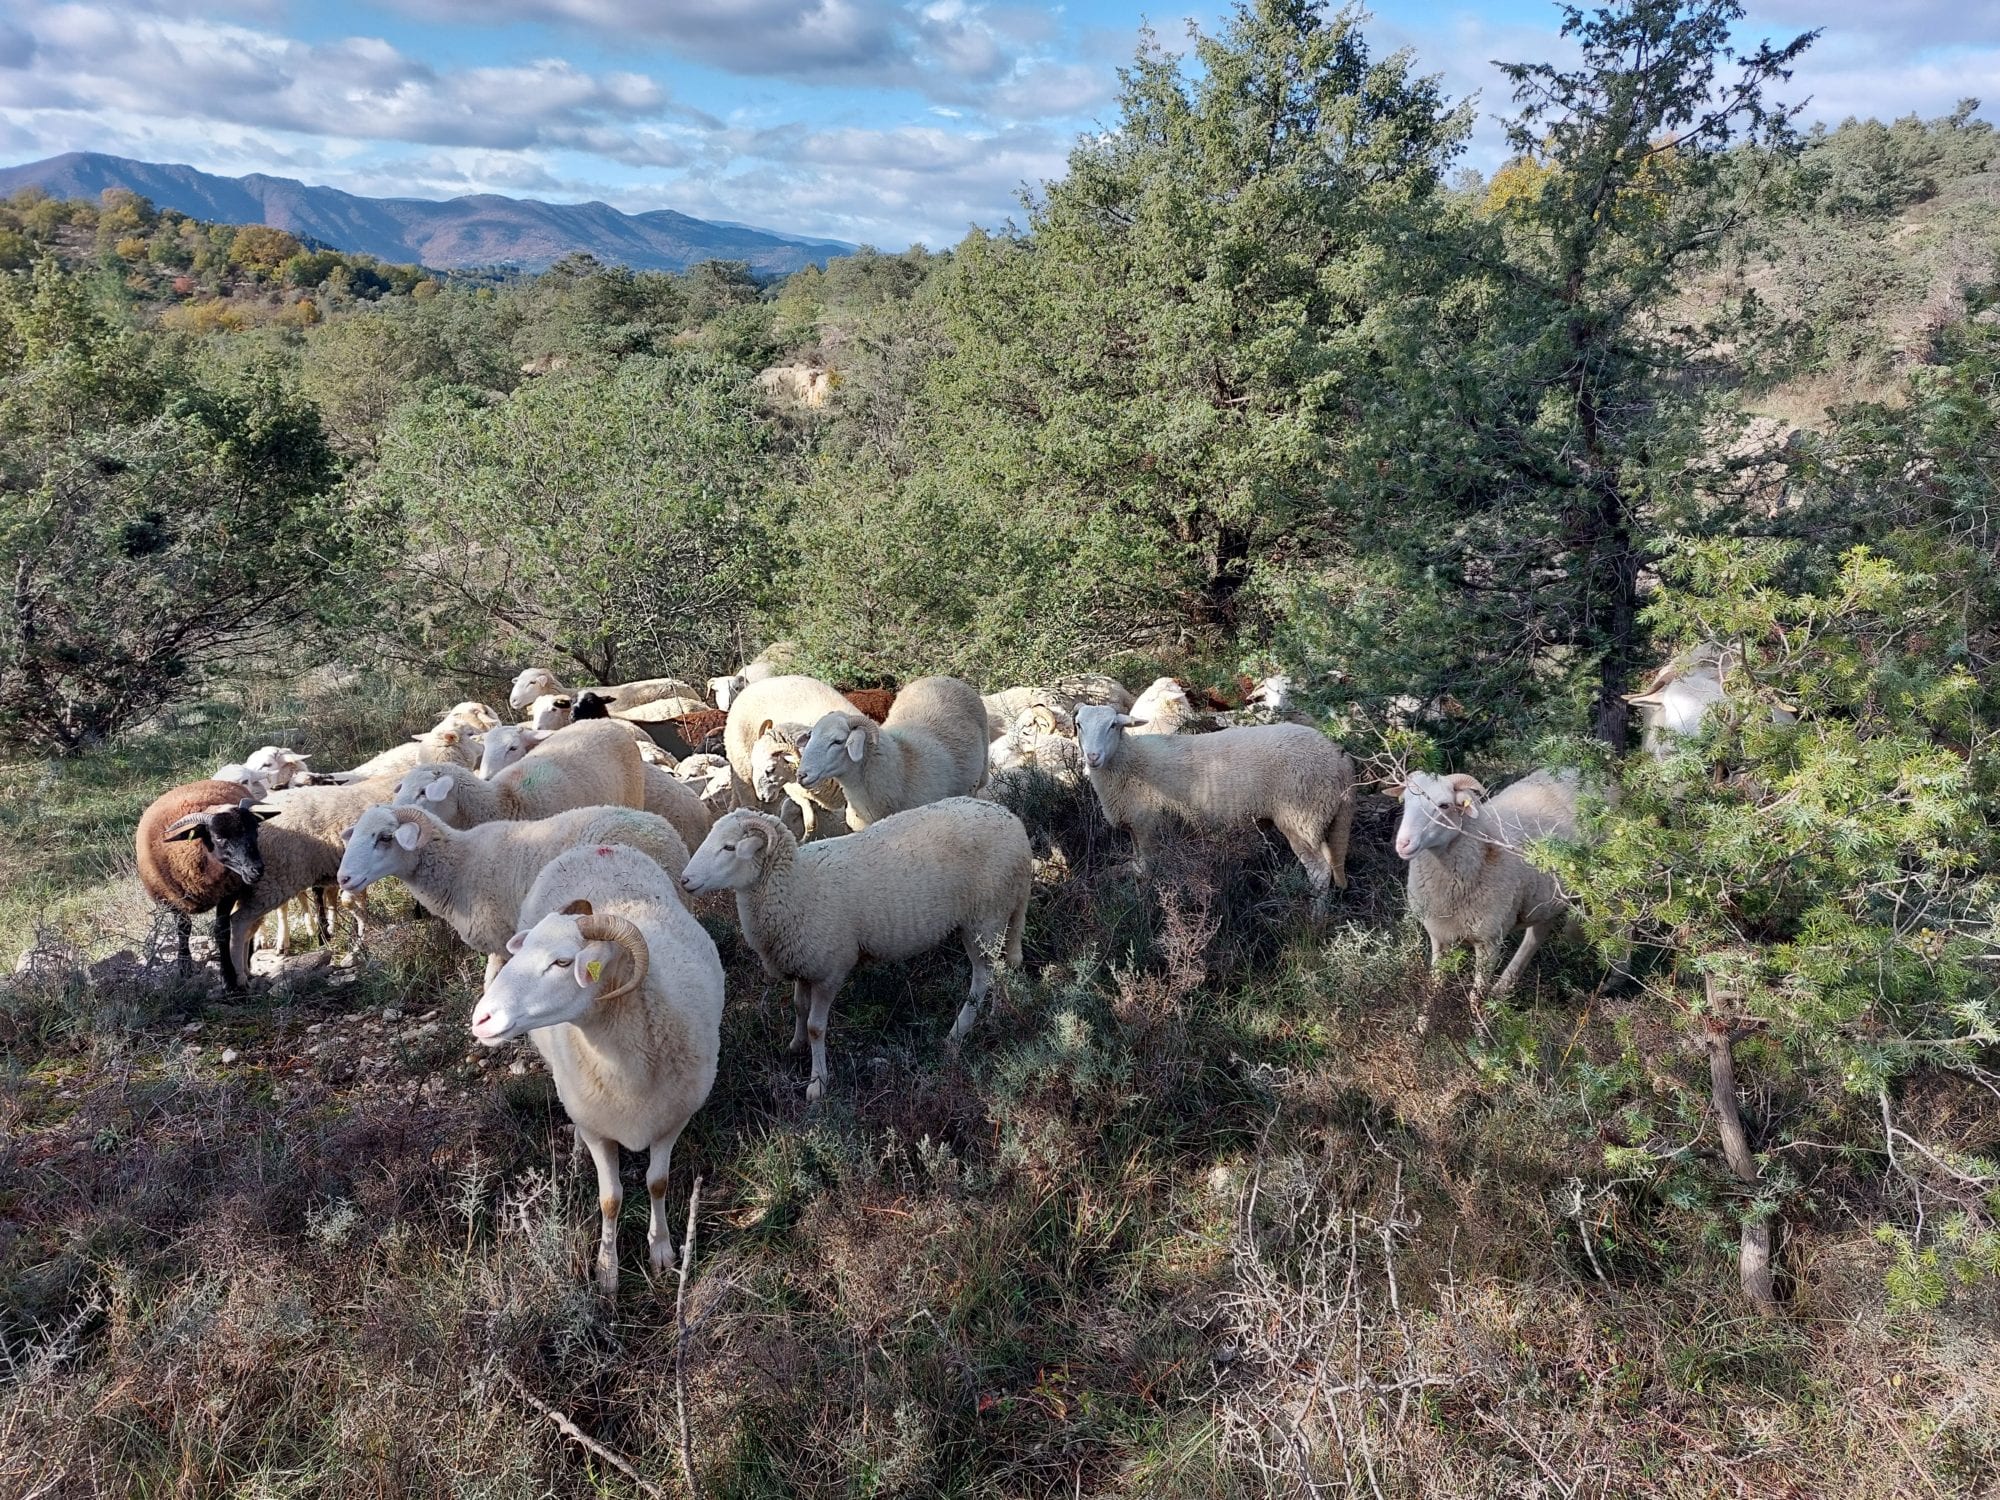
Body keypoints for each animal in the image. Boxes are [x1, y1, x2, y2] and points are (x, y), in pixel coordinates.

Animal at [136, 780, 277, 990]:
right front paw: (184, 969)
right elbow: (183, 930)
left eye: (256, 831)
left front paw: (228, 978)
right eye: (218, 837)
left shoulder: (228, 893)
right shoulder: (173, 900)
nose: (256, 869)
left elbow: (222, 931)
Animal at [472, 843, 723, 1294]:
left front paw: (662, 1250)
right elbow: (610, 1199)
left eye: (561, 962)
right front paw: (607, 1270)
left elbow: (657, 1182)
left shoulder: (673, 1119)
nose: (480, 1019)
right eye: (524, 950)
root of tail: (597, 846)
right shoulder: (597, 1127)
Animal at [681, 798, 1031, 1101]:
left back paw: (959, 1032)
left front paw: (817, 1082)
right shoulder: (803, 963)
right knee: (1000, 965)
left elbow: (816, 1027)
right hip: (998, 914)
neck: (799, 886)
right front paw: (794, 1045)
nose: (684, 879)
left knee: (982, 978)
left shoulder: (830, 970)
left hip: (984, 916)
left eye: (729, 847)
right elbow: (798, 1007)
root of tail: (1015, 825)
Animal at [1075, 705, 1356, 911]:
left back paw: (1315, 918)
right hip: (1322, 817)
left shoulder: (1148, 825)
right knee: (1331, 861)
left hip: (1300, 816)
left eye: (1113, 725)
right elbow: (1136, 866)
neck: (1129, 762)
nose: (1092, 757)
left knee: (1319, 872)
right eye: (1079, 725)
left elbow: (1144, 869)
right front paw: (1106, 878)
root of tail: (1339, 757)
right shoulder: (1134, 825)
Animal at [1391, 768, 1590, 1002]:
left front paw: (1479, 1012)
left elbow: (1475, 997)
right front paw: (1426, 1012)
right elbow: (1434, 986)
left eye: (1444, 805)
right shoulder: (1438, 934)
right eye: (1406, 801)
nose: (1403, 843)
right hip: (1547, 898)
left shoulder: (1489, 941)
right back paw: (1503, 987)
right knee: (1537, 934)